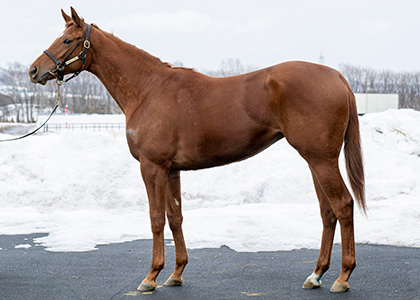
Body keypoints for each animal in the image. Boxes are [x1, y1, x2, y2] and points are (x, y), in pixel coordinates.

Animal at [29, 6, 364, 292]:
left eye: (67, 40)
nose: (34, 70)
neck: (148, 89)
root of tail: (337, 76)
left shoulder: (152, 167)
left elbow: (155, 218)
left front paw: (151, 276)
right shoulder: (172, 170)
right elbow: (175, 217)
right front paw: (176, 273)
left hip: (321, 160)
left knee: (343, 205)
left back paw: (342, 277)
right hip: (315, 160)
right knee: (327, 211)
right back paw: (316, 275)